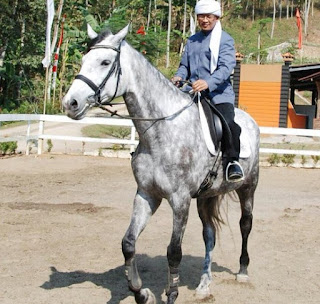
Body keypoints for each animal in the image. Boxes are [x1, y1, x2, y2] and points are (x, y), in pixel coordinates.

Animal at [62, 24, 260, 304]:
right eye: (82, 60)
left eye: (105, 62)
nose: (70, 104)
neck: (160, 130)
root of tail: (249, 119)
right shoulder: (147, 194)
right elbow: (128, 243)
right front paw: (142, 293)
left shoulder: (180, 200)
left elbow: (174, 251)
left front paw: (171, 293)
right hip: (206, 196)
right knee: (209, 235)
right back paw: (204, 284)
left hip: (248, 187)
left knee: (245, 224)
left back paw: (242, 271)